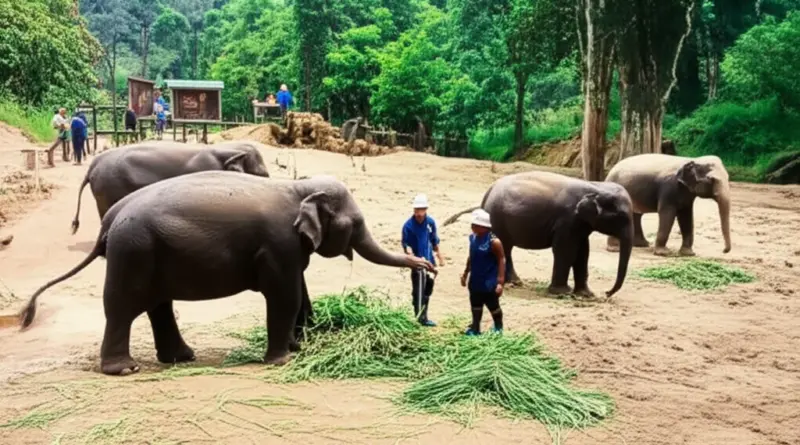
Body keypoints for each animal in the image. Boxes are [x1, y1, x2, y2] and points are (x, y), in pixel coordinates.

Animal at [7, 171, 434, 376]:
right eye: (356, 222)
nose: (428, 265)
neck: (298, 187)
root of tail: (109, 219)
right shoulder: (279, 244)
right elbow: (284, 294)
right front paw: (282, 360)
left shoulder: (290, 248)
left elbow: (299, 292)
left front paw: (298, 348)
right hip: (133, 251)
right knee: (123, 308)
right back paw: (125, 369)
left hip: (149, 251)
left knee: (158, 305)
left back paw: (181, 358)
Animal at [443, 171, 634, 298]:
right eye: (622, 217)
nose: (607, 293)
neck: (596, 186)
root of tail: (488, 191)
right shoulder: (568, 220)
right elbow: (565, 251)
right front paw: (562, 293)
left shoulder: (580, 224)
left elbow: (582, 253)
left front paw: (587, 295)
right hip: (496, 217)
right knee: (503, 247)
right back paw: (511, 283)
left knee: (506, 248)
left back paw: (514, 282)